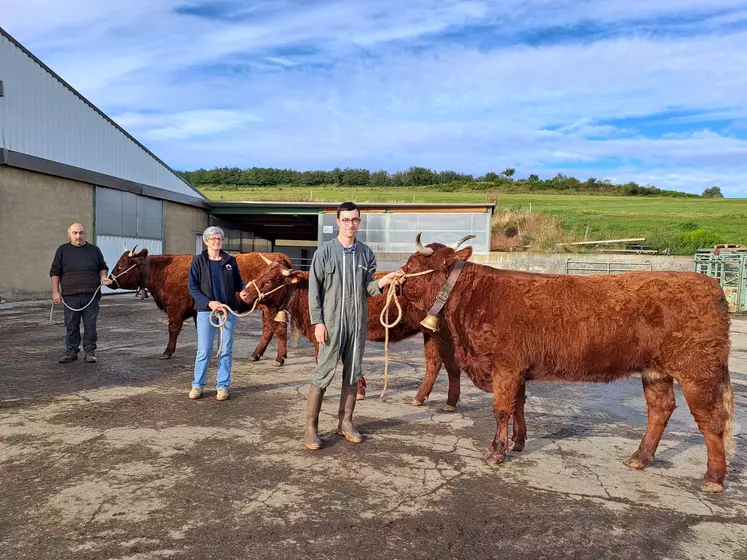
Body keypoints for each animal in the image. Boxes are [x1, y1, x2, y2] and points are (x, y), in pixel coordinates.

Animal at [109, 248, 296, 364]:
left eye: (121, 265)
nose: (109, 281)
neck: (163, 271)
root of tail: (279, 257)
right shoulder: (196, 311)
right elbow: (202, 330)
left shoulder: (175, 308)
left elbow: (173, 329)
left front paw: (167, 352)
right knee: (268, 329)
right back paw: (256, 354)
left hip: (270, 308)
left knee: (278, 329)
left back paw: (280, 358)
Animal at [398, 234, 736, 492]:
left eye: (413, 265)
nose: (396, 281)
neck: (473, 296)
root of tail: (711, 284)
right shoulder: (518, 370)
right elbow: (519, 404)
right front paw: (519, 442)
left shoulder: (505, 367)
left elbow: (502, 409)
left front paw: (496, 452)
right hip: (656, 371)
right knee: (660, 409)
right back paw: (640, 457)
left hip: (697, 371)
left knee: (711, 419)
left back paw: (713, 478)